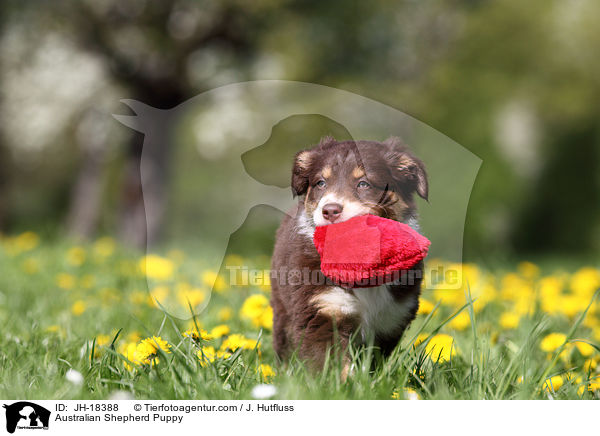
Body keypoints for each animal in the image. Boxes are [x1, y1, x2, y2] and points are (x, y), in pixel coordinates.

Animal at [270, 135, 428, 372]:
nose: (330, 210)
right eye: (321, 183)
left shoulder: (390, 319)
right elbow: (332, 364)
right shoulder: (323, 310)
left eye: (363, 183)